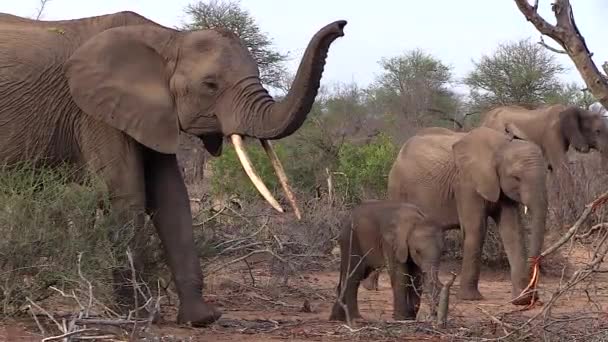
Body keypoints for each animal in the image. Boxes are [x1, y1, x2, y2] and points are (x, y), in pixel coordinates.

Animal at [0, 10, 346, 326]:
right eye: (210, 85)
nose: (341, 25)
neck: (170, 39)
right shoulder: (95, 112)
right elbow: (125, 194)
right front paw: (136, 317)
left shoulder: (148, 113)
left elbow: (171, 197)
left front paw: (201, 319)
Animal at [388, 127, 548, 304]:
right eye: (516, 178)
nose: (534, 296)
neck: (501, 146)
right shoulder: (466, 183)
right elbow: (476, 228)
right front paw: (470, 298)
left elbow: (512, 230)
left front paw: (521, 299)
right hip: (398, 188)